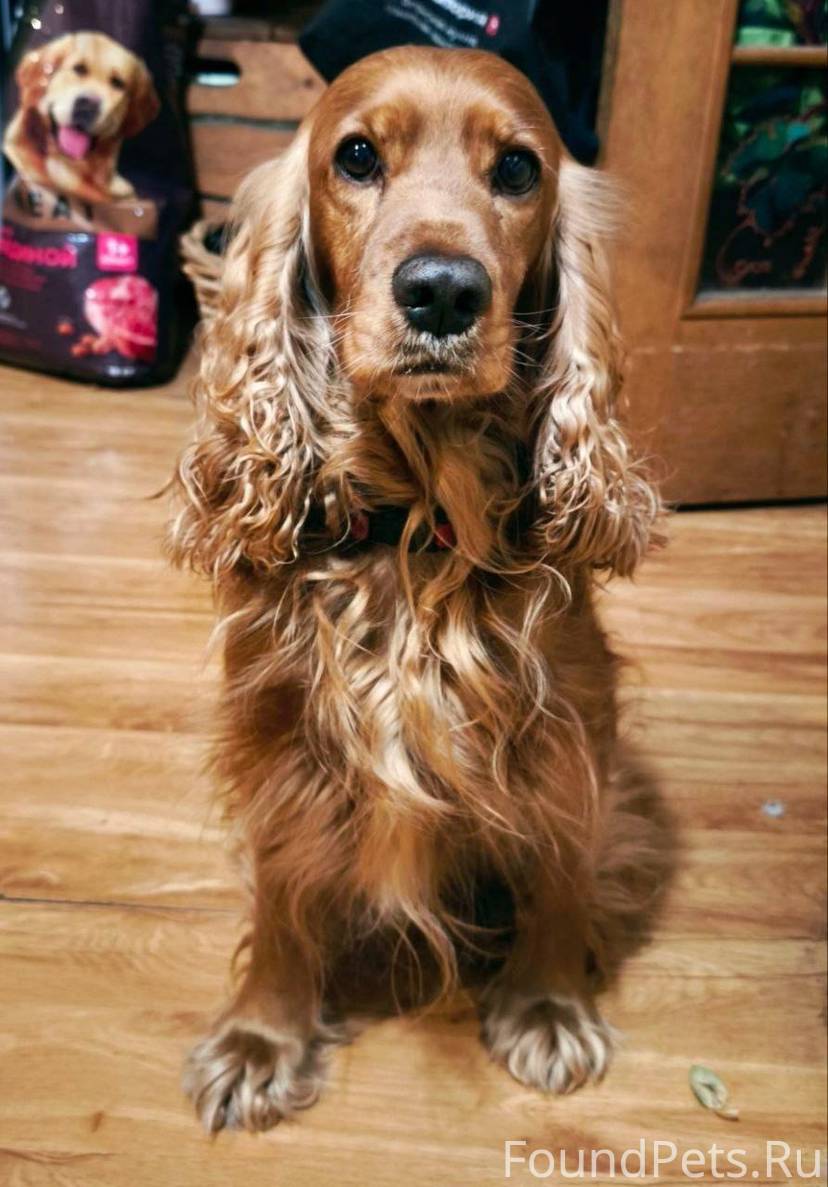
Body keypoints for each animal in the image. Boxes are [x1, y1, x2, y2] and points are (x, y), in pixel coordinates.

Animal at [170, 45, 665, 1133]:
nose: (442, 290)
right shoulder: (283, 737)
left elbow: (559, 867)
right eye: (356, 155)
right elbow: (281, 890)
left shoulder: (566, 728)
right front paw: (262, 1035)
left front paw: (546, 1003)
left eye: (518, 169)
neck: (413, 534)